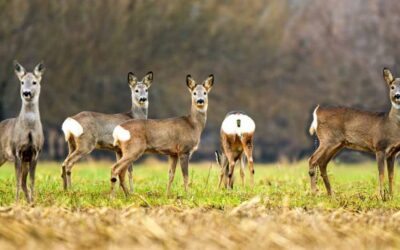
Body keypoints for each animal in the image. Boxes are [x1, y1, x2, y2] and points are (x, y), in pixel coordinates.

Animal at [0, 60, 45, 203]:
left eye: (34, 82)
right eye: (22, 82)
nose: (26, 93)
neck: (29, 130)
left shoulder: (35, 153)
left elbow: (31, 181)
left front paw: (33, 202)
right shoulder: (17, 152)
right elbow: (18, 181)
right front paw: (16, 202)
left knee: (25, 182)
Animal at [308, 68, 400, 199]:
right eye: (392, 87)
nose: (397, 96)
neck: (391, 124)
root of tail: (318, 110)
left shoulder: (393, 153)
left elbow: (391, 176)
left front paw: (391, 197)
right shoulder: (379, 147)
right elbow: (381, 174)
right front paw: (381, 197)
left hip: (337, 144)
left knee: (322, 163)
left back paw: (331, 195)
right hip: (327, 139)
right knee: (312, 160)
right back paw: (314, 193)